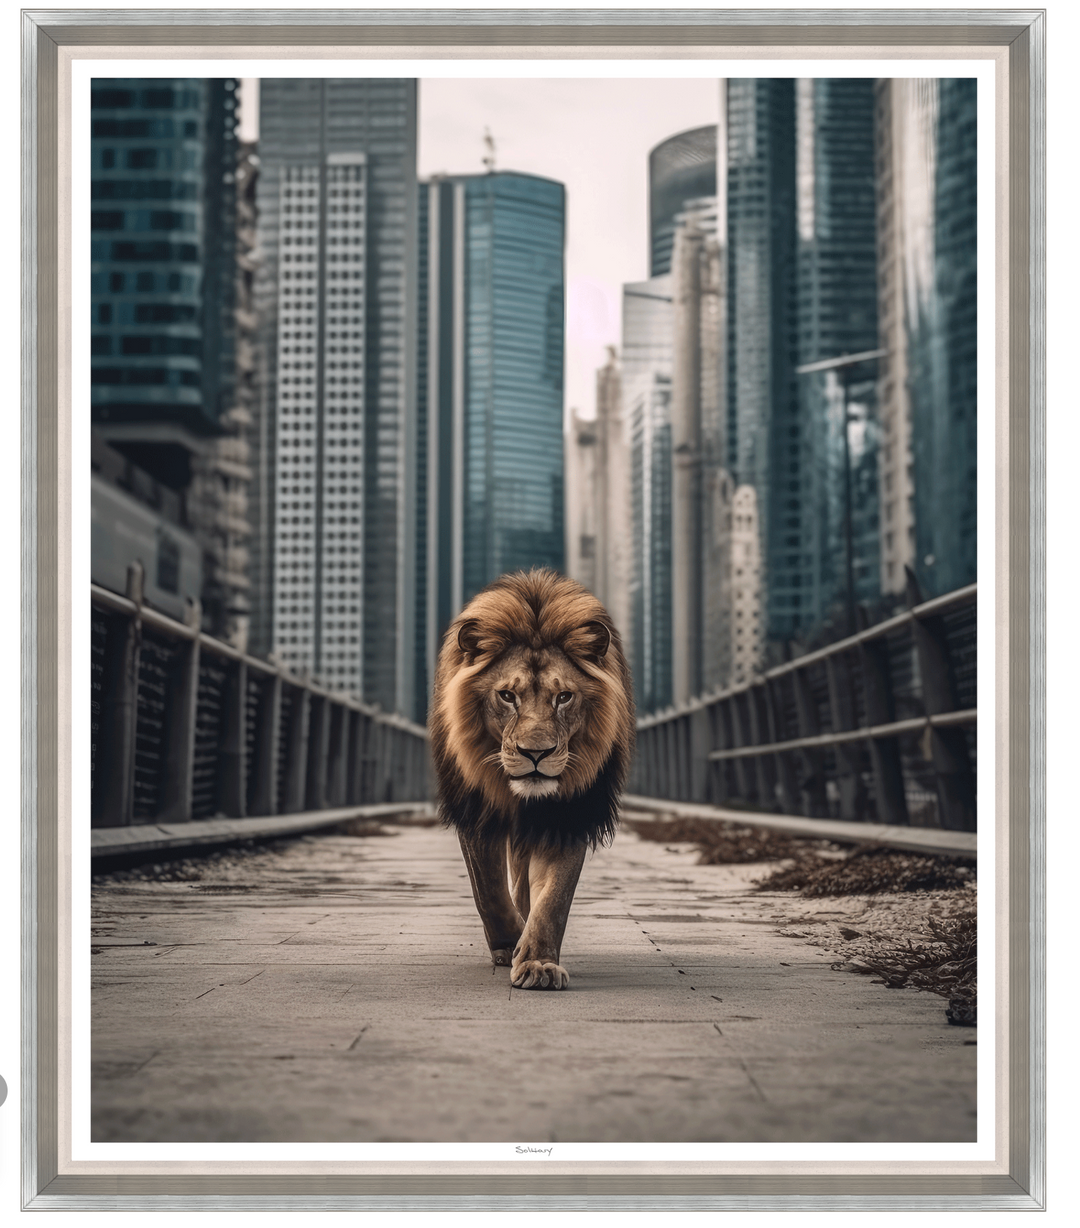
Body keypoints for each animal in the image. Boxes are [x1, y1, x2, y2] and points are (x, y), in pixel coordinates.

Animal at [429, 568, 635, 990]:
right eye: (508, 696)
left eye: (564, 697)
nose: (535, 754)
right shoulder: (477, 807)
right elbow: (488, 889)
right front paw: (509, 943)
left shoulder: (567, 814)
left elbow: (554, 898)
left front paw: (538, 962)